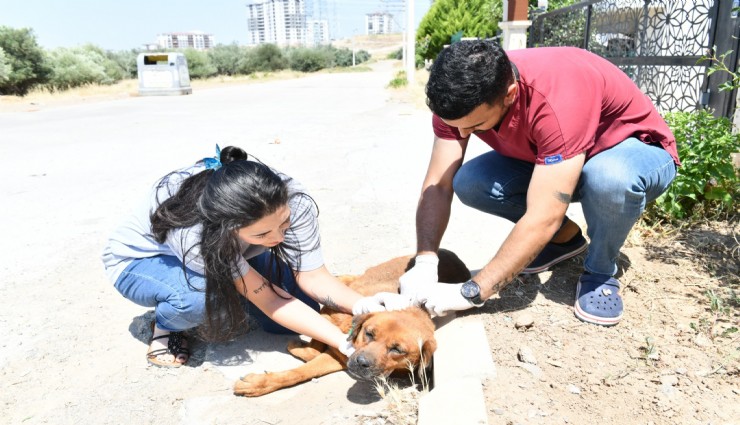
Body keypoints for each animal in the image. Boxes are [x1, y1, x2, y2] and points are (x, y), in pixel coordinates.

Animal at [234, 247, 472, 396]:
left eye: (397, 350)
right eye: (369, 333)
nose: (361, 362)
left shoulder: (338, 356)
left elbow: (306, 368)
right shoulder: (326, 316)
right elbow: (313, 347)